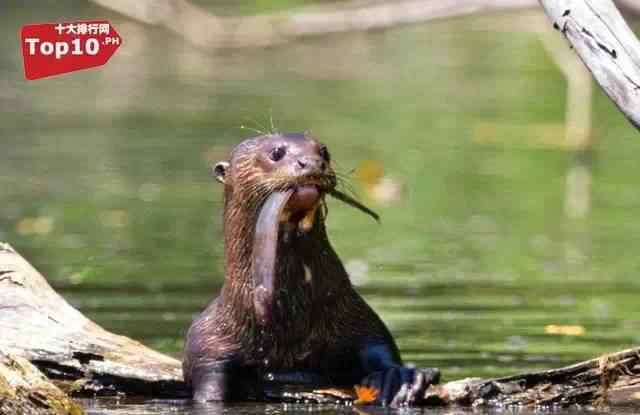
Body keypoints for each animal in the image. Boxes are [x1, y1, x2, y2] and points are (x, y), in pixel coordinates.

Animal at [182, 132, 438, 406]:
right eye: (276, 152)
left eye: (324, 151)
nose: (313, 163)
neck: (292, 316)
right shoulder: (208, 341)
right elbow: (208, 377)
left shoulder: (356, 316)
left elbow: (379, 345)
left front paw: (397, 378)